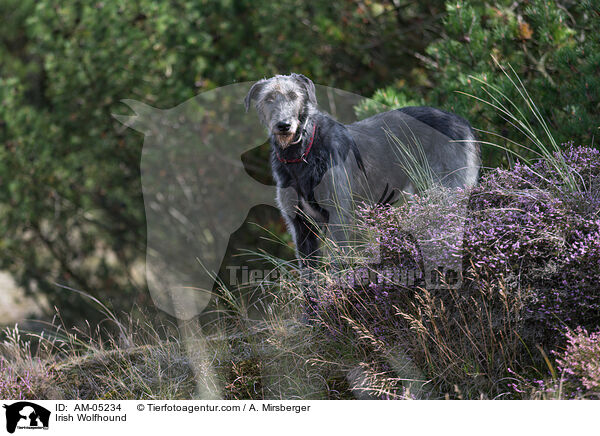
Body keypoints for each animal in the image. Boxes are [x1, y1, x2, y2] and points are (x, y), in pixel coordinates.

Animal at [243, 73, 478, 270]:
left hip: (447, 190)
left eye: (293, 95)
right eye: (269, 98)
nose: (284, 125)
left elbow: (339, 263)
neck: (303, 152)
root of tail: (464, 123)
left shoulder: (339, 216)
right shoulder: (301, 226)